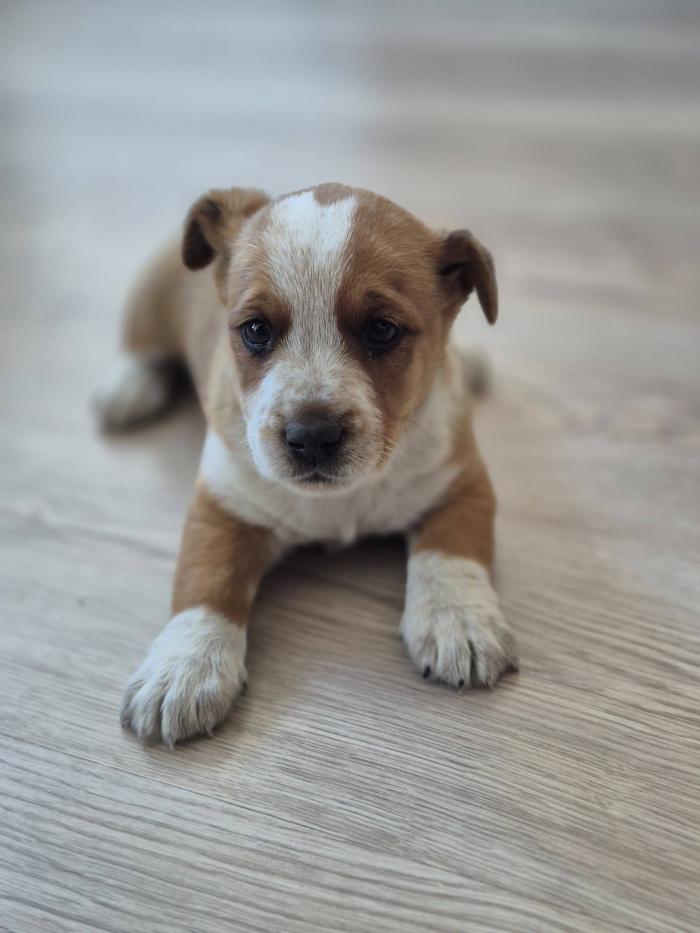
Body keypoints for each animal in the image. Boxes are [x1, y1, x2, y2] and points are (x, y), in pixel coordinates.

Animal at [94, 183, 518, 746]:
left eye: (382, 331)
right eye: (255, 330)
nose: (312, 437)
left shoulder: (462, 483)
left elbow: (451, 552)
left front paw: (458, 617)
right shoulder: (223, 507)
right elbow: (206, 582)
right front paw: (184, 664)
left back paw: (467, 357)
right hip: (150, 299)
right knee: (141, 344)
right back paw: (127, 385)